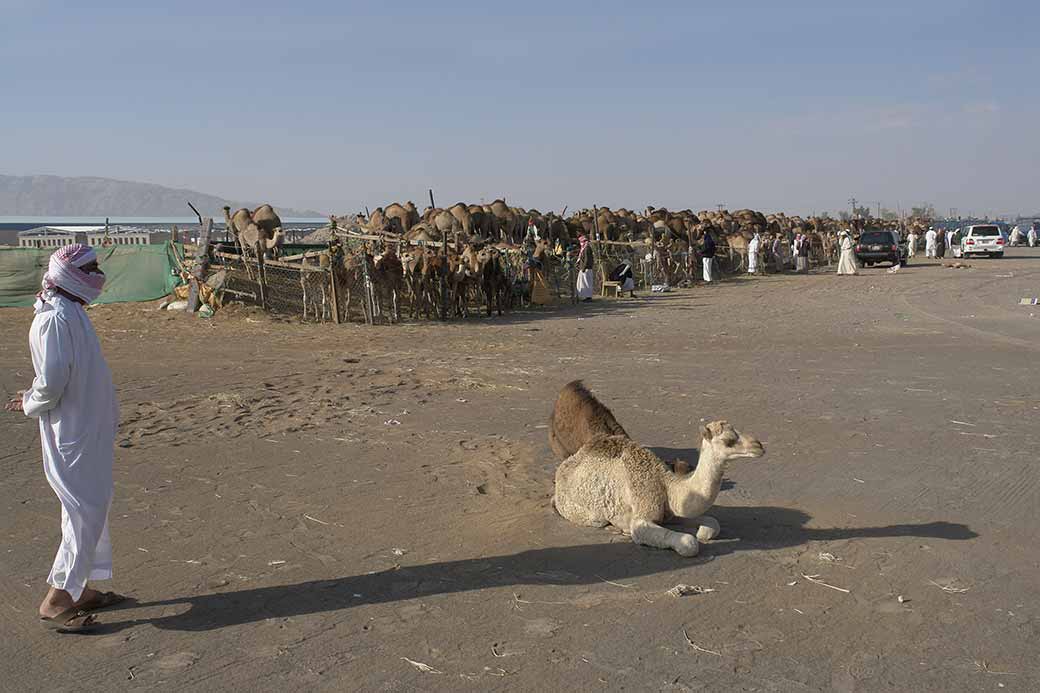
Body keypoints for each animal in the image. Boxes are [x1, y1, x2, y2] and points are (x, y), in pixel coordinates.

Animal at [553, 385, 765, 553]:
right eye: (729, 440)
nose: (759, 446)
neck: (667, 486)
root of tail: (563, 468)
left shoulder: (672, 513)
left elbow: (712, 525)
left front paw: (700, 530)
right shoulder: (642, 517)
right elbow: (689, 543)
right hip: (579, 510)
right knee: (595, 519)